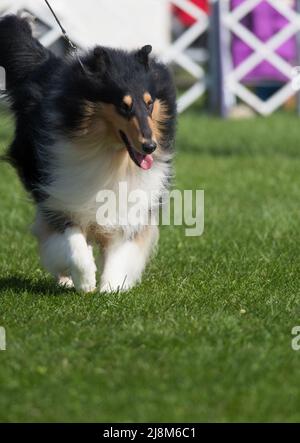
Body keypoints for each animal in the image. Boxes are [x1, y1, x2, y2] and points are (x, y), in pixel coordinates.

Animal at [0, 14, 177, 292]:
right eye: (123, 106)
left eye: (150, 104)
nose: (150, 147)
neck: (111, 156)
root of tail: (46, 64)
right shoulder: (60, 199)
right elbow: (72, 243)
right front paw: (84, 281)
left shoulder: (128, 207)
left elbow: (119, 252)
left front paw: (110, 288)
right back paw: (64, 279)